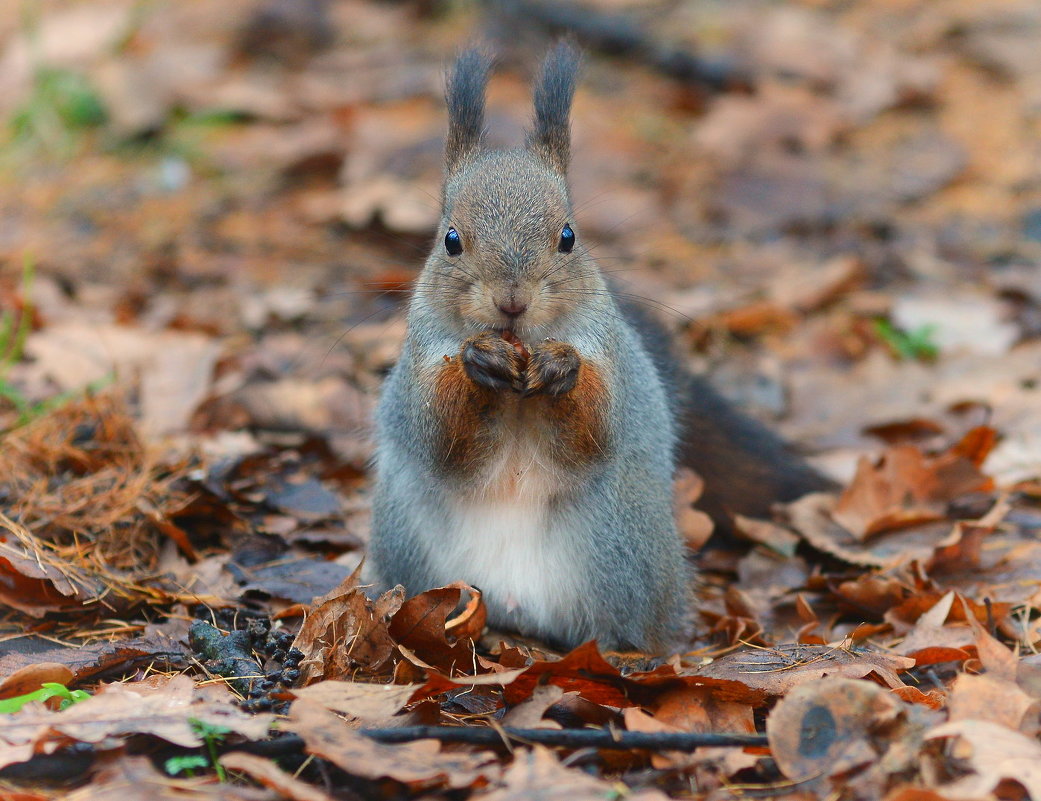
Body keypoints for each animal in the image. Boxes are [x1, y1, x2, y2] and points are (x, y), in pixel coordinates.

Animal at [368, 43, 828, 654]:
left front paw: (562, 367)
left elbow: (595, 428)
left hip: (626, 545)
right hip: (407, 543)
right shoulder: (421, 360)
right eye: (451, 240)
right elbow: (441, 436)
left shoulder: (610, 356)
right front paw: (477, 362)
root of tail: (518, 610)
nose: (511, 301)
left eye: (568, 237)